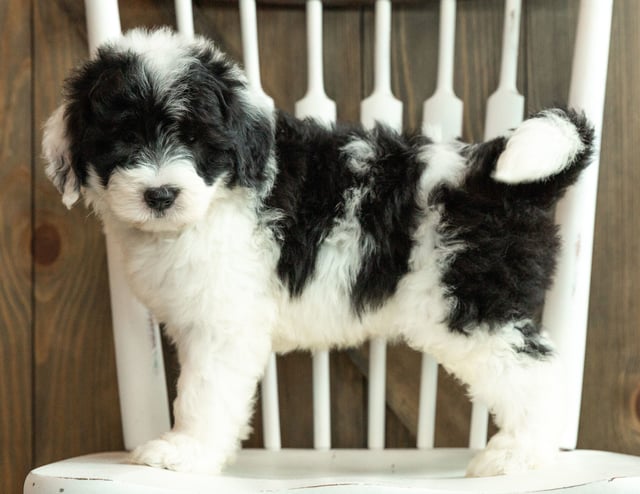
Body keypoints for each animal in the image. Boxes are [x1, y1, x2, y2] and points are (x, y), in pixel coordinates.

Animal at [43, 29, 596, 476]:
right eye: (121, 139)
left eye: (197, 141)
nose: (160, 195)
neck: (215, 199)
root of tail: (494, 178)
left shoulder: (222, 323)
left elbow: (203, 391)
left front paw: (184, 451)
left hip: (471, 302)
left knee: (536, 373)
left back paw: (519, 455)